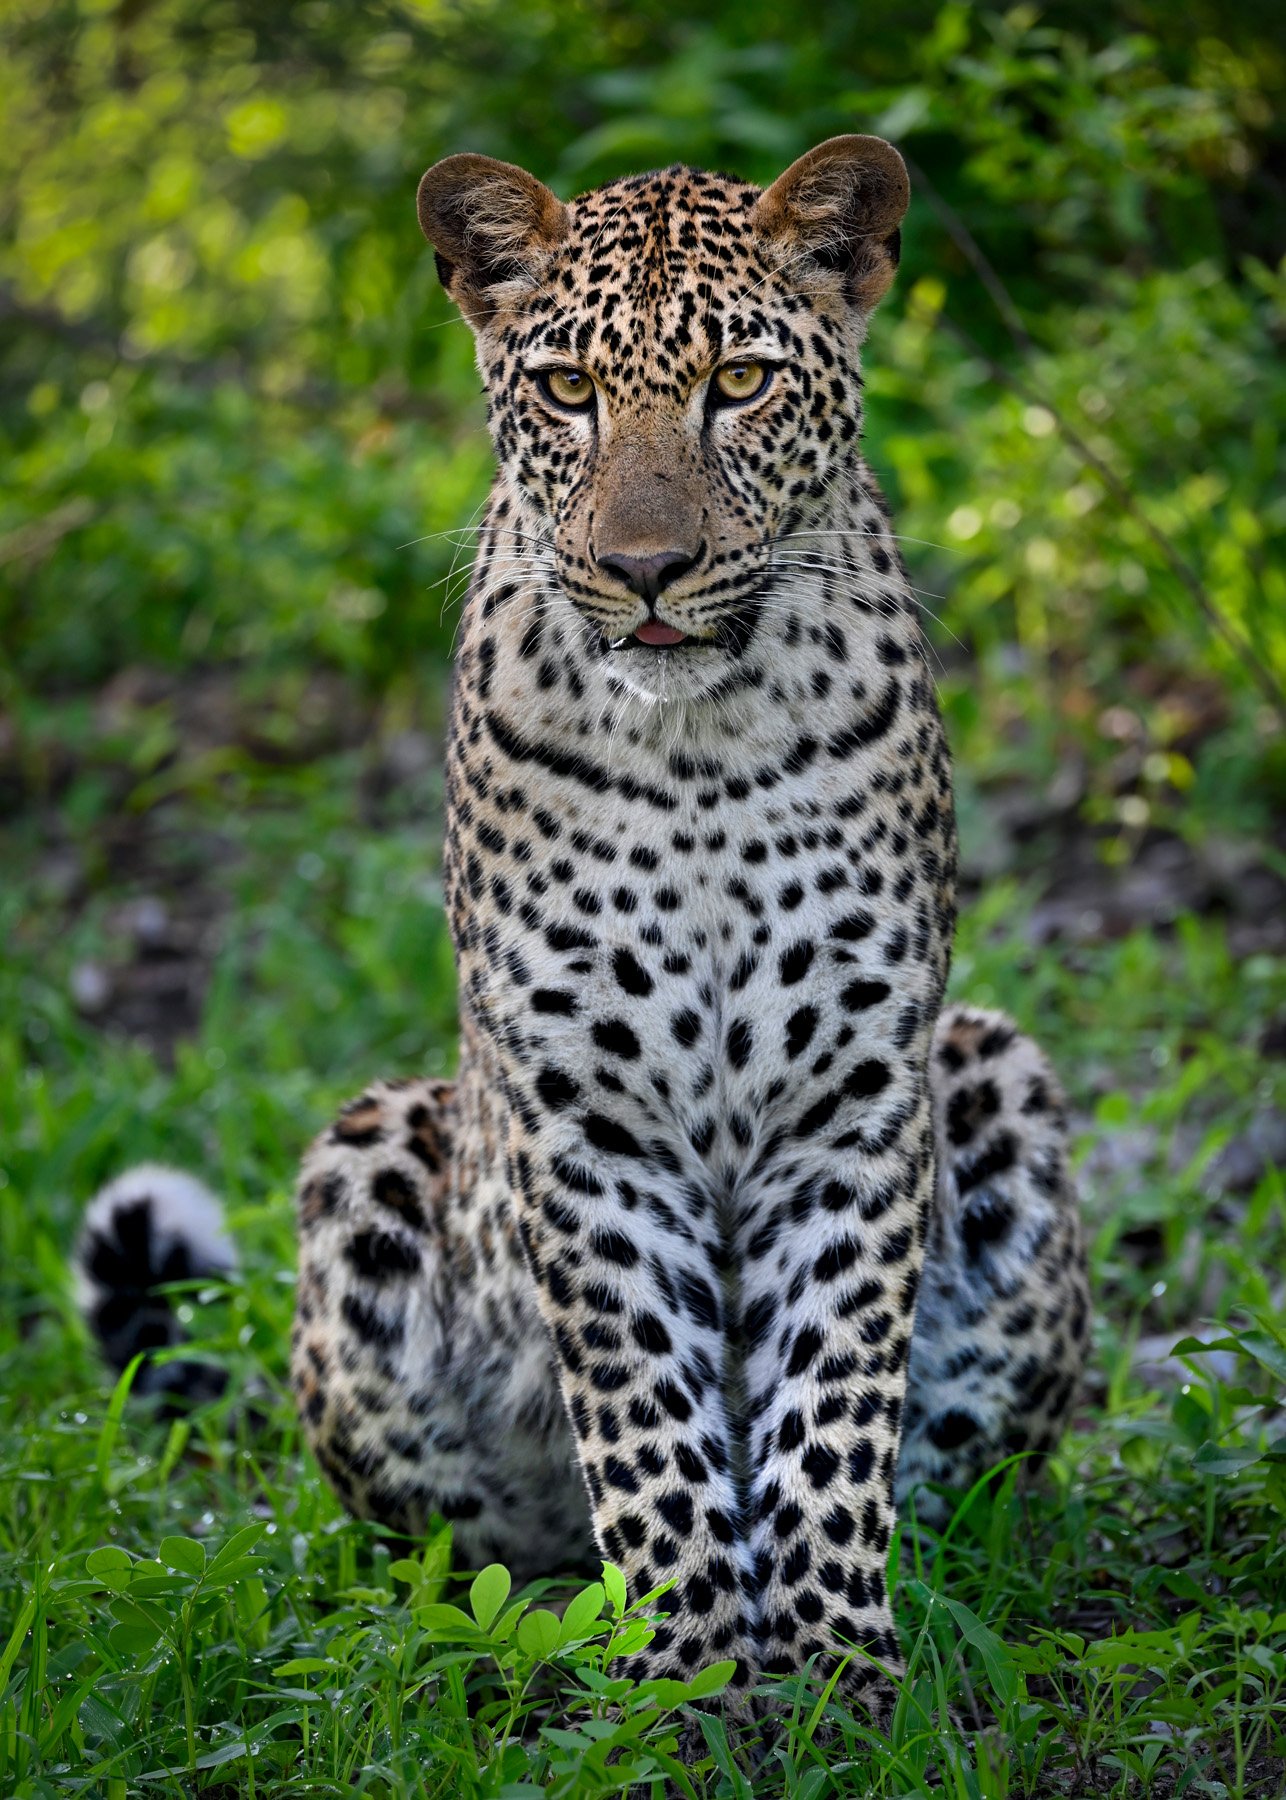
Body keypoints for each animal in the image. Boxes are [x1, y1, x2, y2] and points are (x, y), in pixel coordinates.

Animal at [77, 135, 1089, 1719]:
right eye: (565, 390)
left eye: (737, 381)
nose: (647, 567)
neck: (699, 746)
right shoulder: (582, 1117)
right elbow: (650, 1424)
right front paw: (684, 1687)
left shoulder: (854, 1102)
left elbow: (826, 1418)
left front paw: (835, 1687)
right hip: (370, 1163)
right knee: (483, 1542)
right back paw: (540, 1625)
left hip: (991, 1075)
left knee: (947, 1477)